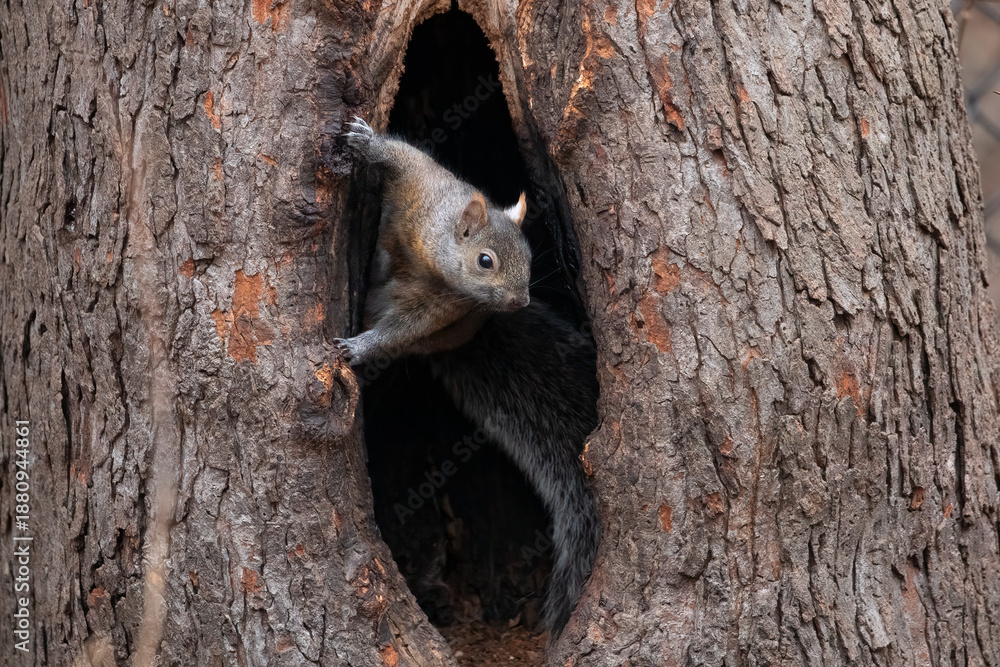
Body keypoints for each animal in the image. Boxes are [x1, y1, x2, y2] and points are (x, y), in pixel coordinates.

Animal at [339, 117, 598, 636]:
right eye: (486, 260)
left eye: (530, 257)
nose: (518, 301)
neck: (428, 256)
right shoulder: (423, 186)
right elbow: (401, 155)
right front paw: (364, 140)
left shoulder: (441, 311)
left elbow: (401, 330)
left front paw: (359, 348)